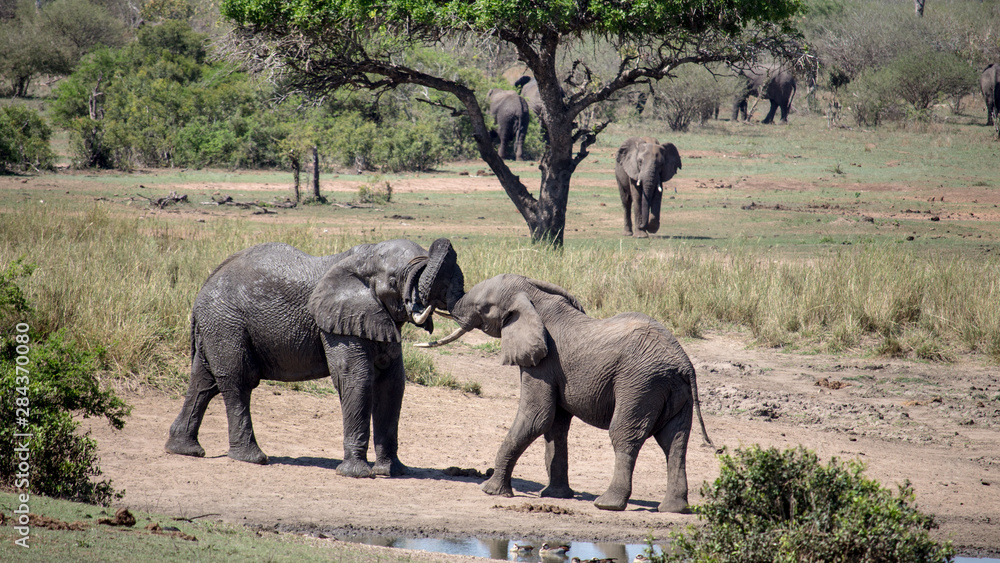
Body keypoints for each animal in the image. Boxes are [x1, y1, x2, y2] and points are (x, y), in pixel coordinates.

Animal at [165, 238, 465, 478]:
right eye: (394, 281)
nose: (444, 242)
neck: (363, 257)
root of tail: (203, 289)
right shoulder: (335, 324)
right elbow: (357, 380)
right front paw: (357, 474)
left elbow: (392, 384)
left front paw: (393, 472)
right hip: (226, 323)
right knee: (237, 381)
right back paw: (252, 458)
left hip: (216, 325)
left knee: (204, 382)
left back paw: (184, 449)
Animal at [417, 274, 713, 512]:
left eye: (483, 308)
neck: (532, 297)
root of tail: (684, 364)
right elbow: (555, 426)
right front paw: (555, 496)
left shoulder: (544, 363)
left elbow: (537, 417)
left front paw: (491, 491)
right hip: (673, 390)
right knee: (675, 441)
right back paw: (673, 509)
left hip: (640, 384)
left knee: (625, 434)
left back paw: (607, 504)